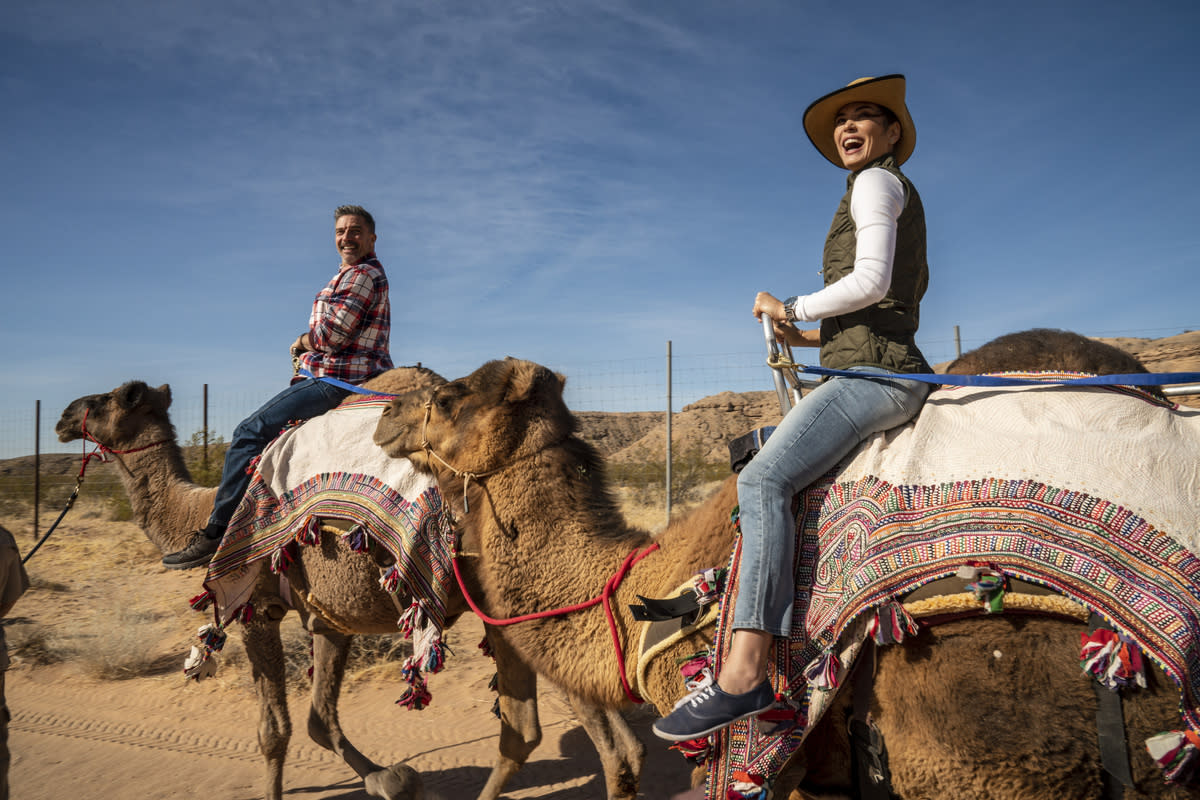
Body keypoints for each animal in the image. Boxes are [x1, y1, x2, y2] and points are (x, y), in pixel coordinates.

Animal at [54, 371, 648, 800]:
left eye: (107, 399)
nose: (61, 416)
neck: (199, 513)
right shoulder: (327, 617)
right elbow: (320, 721)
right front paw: (394, 779)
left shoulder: (257, 605)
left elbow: (275, 730)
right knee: (617, 735)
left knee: (581, 739)